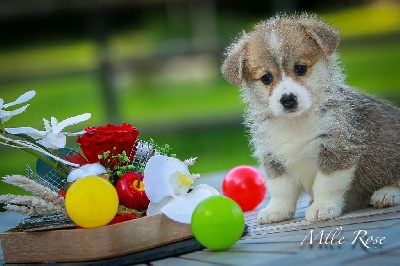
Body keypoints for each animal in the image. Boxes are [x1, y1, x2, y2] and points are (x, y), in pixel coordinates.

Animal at [222, 13, 400, 223]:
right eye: (266, 78)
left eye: (300, 68)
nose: (288, 100)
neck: (296, 123)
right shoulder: (273, 157)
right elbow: (281, 190)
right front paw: (277, 210)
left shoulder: (336, 149)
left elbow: (326, 184)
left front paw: (322, 207)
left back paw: (388, 193)